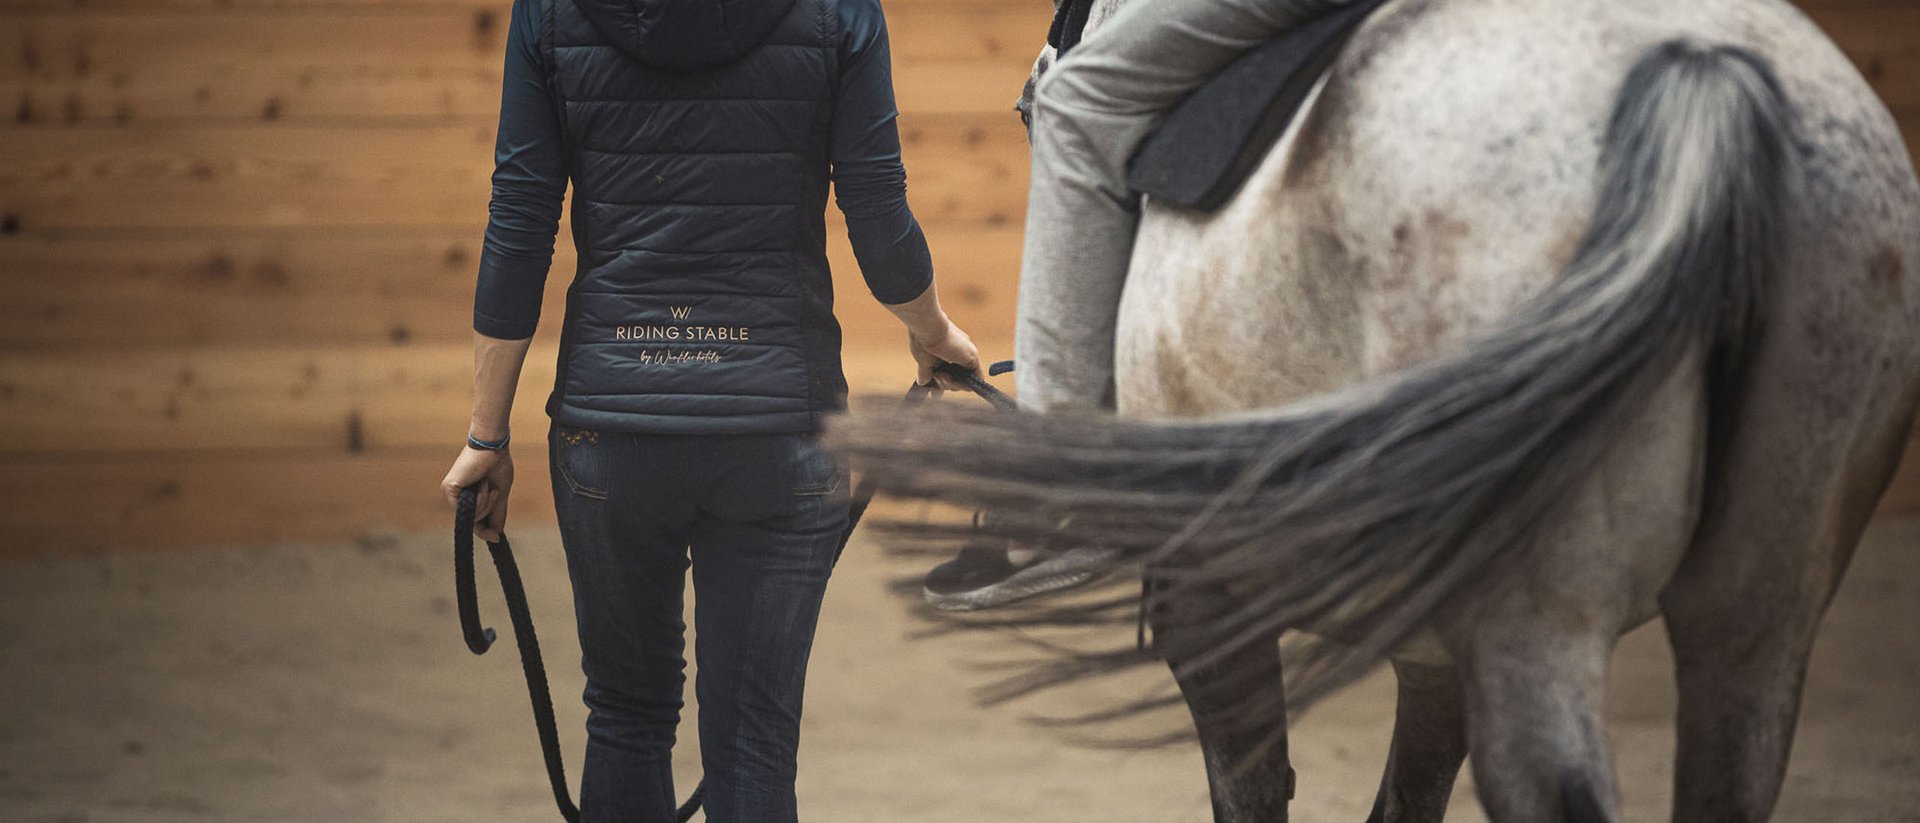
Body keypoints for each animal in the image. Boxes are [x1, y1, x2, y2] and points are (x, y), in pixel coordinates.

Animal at [829, 0, 1920, 820]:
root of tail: (1707, 75)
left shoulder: (1209, 596)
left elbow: (1254, 785)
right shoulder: (1429, 644)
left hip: (1538, 621)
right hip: (1759, 616)